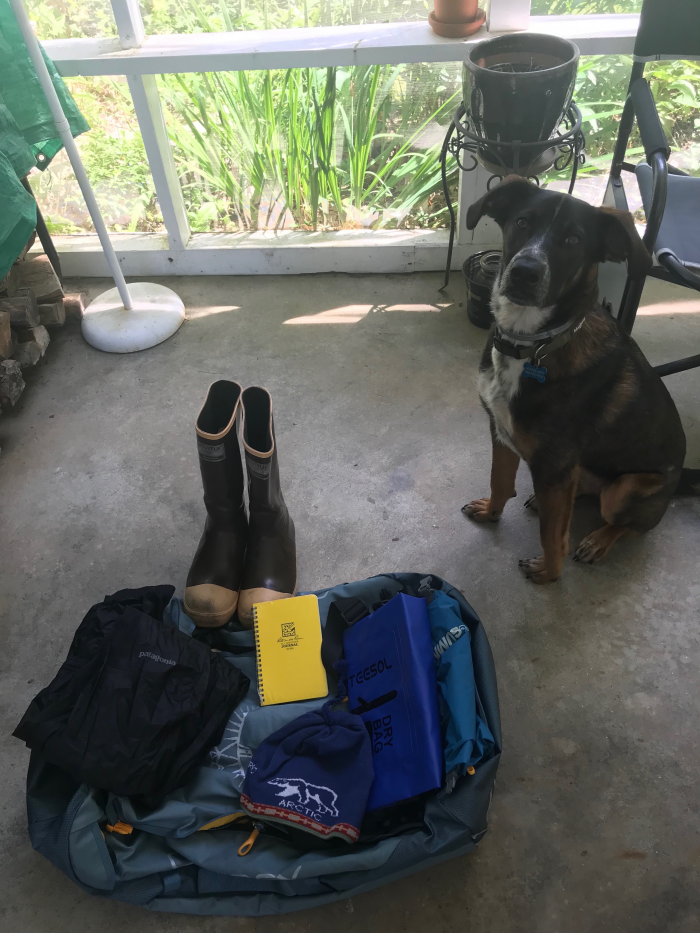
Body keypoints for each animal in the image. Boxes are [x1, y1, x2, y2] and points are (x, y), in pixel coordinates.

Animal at [462, 176, 696, 584]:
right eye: (522, 222)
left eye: (573, 240)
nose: (525, 272)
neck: (533, 346)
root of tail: (680, 478)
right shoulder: (501, 432)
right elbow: (500, 482)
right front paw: (491, 513)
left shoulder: (555, 466)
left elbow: (552, 535)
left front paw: (549, 572)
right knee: (581, 490)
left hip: (625, 490)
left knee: (626, 522)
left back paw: (598, 540)